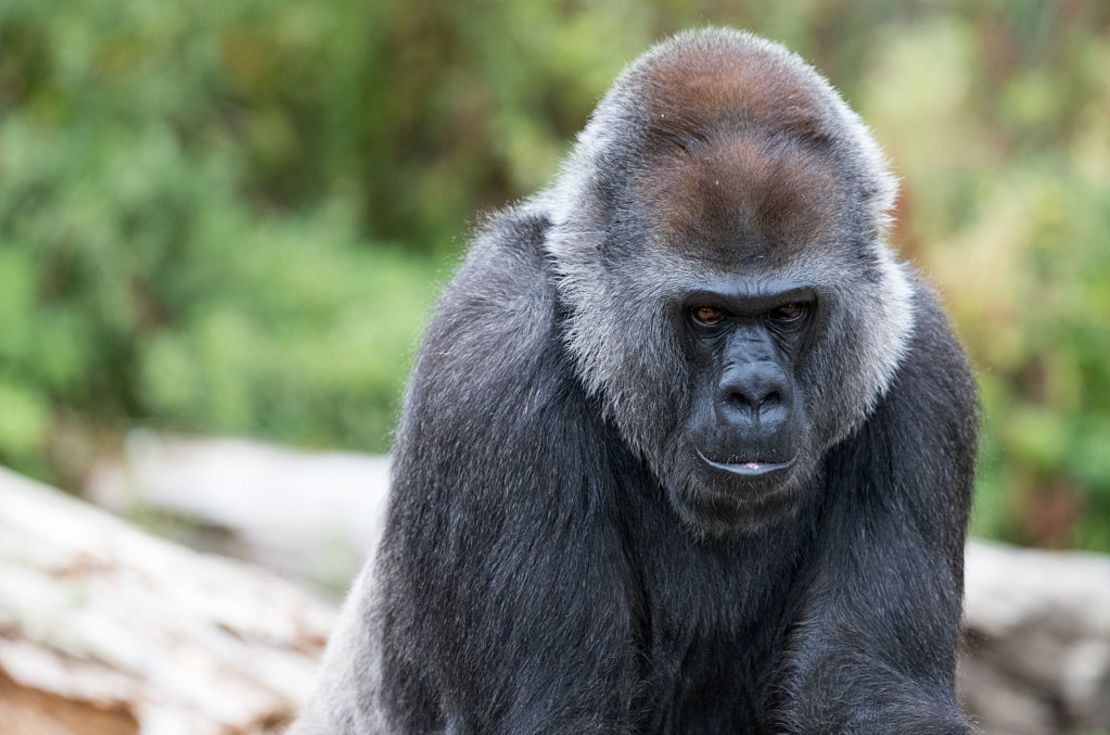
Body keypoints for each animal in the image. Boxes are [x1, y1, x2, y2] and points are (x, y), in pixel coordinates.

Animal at [290, 28, 976, 735]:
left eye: (790, 311)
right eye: (706, 314)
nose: (755, 395)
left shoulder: (922, 359)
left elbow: (861, 682)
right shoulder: (491, 361)